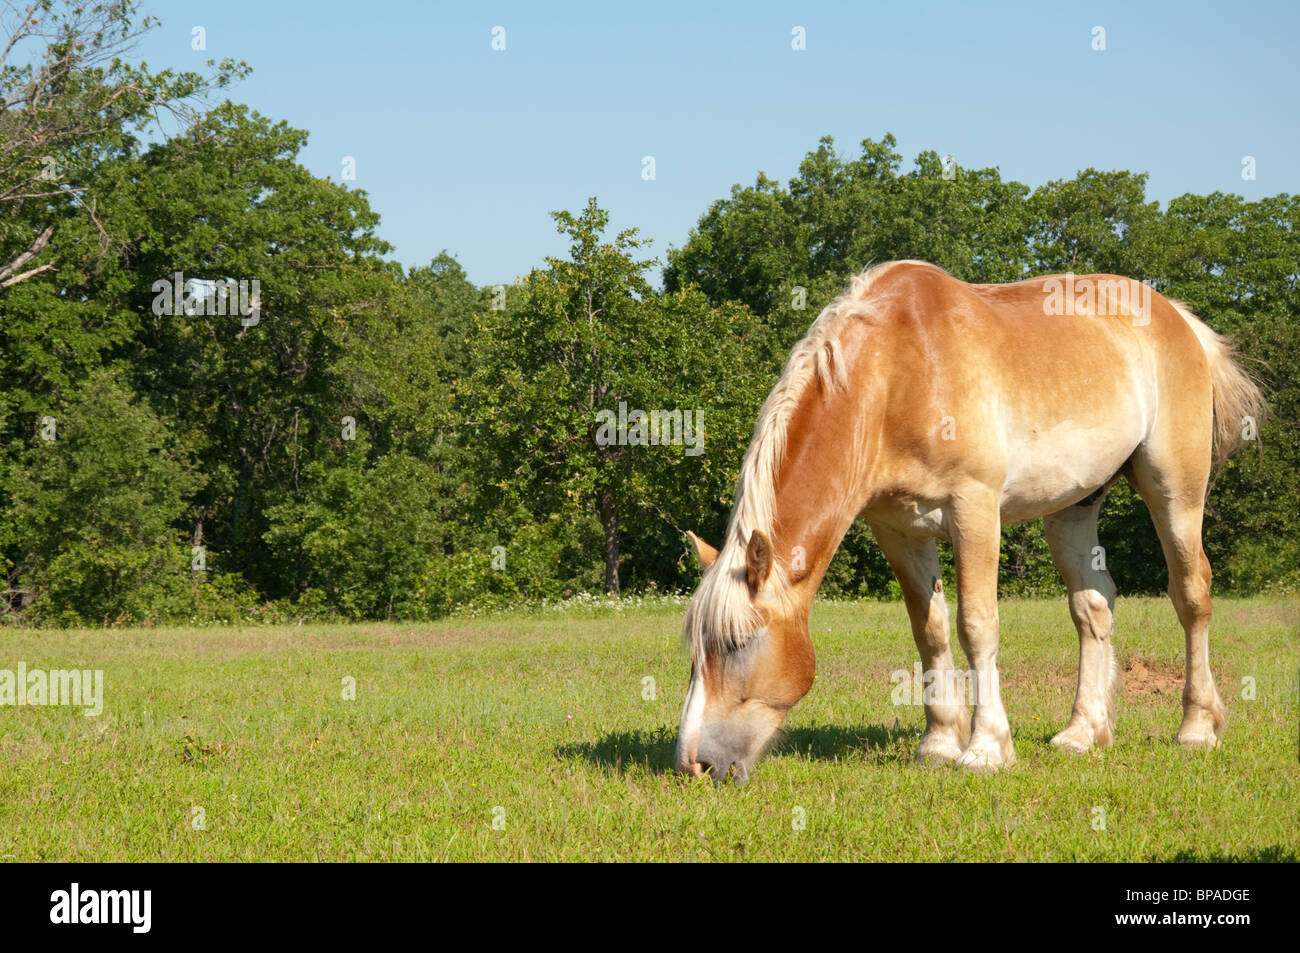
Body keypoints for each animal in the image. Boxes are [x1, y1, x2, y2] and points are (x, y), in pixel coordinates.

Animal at [675, 260, 1265, 782]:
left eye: (737, 644)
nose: (692, 765)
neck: (895, 373)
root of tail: (1178, 318)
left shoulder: (974, 510)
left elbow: (976, 625)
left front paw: (985, 749)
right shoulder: (897, 530)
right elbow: (929, 630)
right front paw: (938, 743)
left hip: (1175, 491)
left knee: (1191, 595)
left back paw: (1196, 728)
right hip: (1073, 507)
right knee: (1093, 607)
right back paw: (1082, 732)